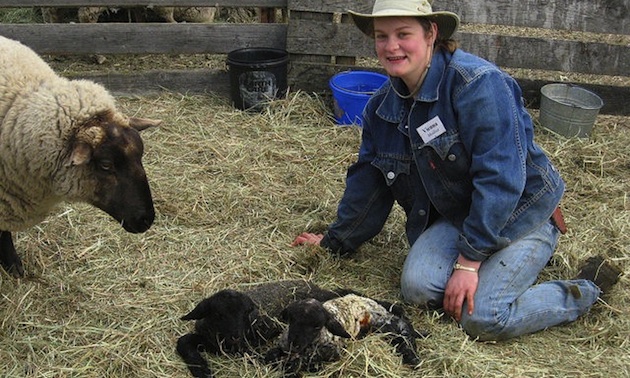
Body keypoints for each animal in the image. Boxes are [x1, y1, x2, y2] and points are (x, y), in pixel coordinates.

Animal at [177, 280, 346, 376]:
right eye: (218, 314)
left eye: (246, 313)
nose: (236, 337)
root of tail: (311, 284)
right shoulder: (209, 340)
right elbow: (183, 341)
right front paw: (201, 370)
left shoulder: (246, 348)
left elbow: (263, 358)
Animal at [264, 294, 422, 376]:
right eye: (291, 319)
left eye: (317, 326)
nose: (294, 344)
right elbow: (271, 355)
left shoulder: (334, 351)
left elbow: (307, 359)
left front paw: (293, 366)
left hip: (380, 319)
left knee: (401, 325)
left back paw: (412, 357)